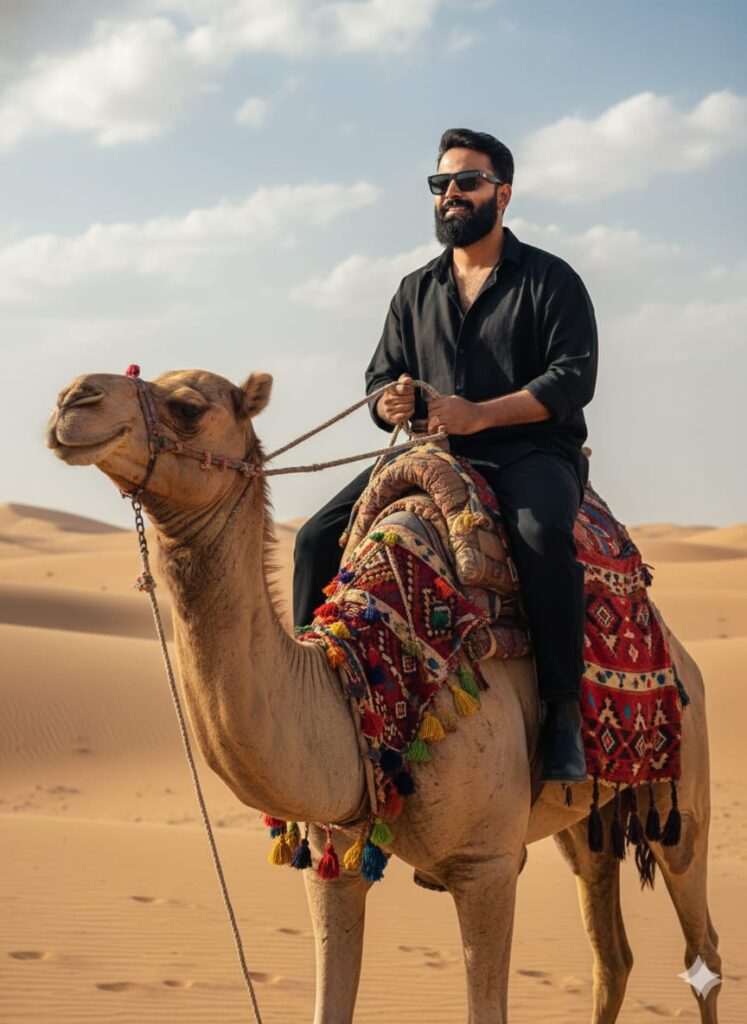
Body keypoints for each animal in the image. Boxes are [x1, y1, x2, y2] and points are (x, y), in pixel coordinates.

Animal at [46, 367, 721, 1024]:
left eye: (187, 406)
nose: (72, 400)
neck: (375, 670)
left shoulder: (486, 864)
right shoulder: (332, 858)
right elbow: (329, 1004)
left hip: (682, 800)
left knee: (702, 947)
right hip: (584, 823)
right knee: (612, 956)